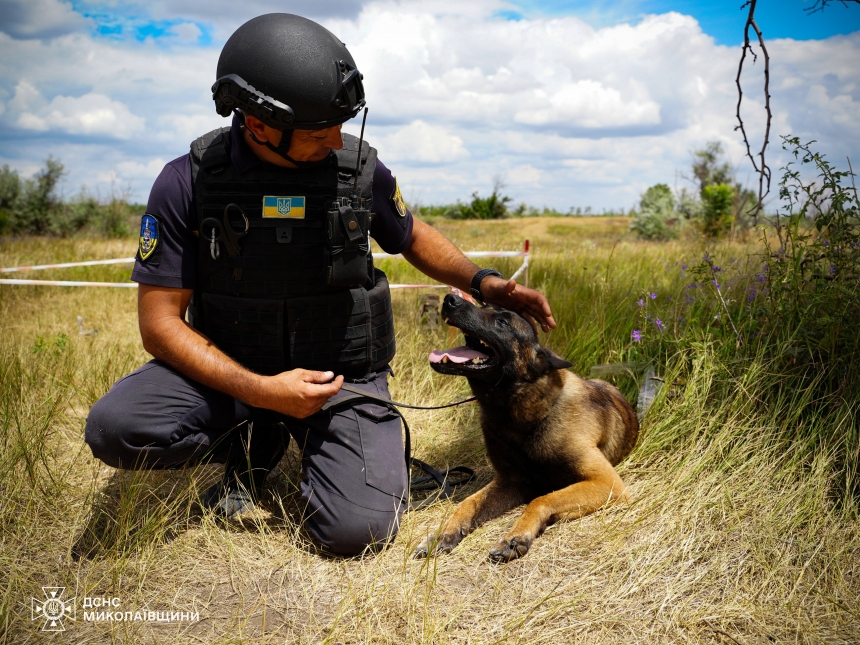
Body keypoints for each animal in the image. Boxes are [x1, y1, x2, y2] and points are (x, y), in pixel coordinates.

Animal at [416, 294, 640, 560]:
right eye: (484, 305)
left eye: (502, 322)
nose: (451, 299)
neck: (518, 417)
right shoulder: (510, 482)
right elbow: (468, 503)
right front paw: (443, 534)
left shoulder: (607, 483)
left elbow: (541, 499)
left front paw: (517, 536)